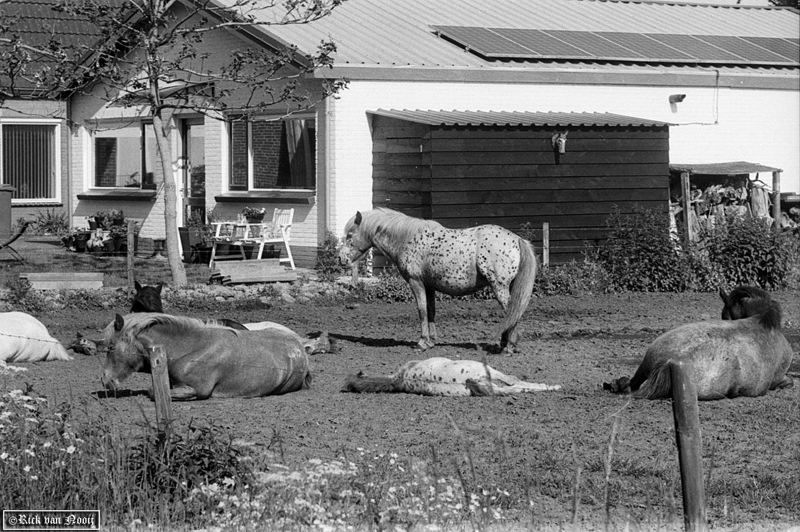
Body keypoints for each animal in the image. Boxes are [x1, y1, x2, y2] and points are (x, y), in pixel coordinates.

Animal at [101, 312, 312, 400]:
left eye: (111, 346)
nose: (105, 380)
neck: (190, 349)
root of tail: (300, 348)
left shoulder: (197, 389)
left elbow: (153, 392)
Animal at [340, 208, 536, 354]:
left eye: (350, 235)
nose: (341, 259)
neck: (407, 238)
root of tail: (517, 239)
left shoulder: (416, 283)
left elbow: (422, 311)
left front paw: (421, 342)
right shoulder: (429, 287)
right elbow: (431, 311)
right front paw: (431, 341)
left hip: (499, 287)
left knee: (513, 310)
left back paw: (509, 346)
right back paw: (505, 344)